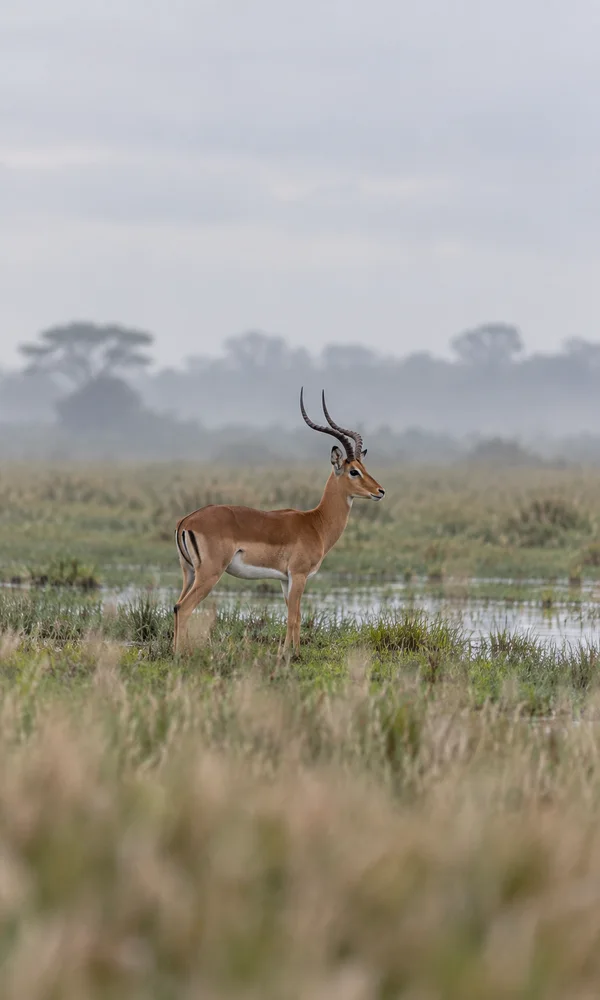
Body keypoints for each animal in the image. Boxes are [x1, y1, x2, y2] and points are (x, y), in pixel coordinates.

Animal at [173, 389, 385, 655]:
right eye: (353, 471)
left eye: (363, 466)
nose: (380, 491)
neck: (315, 523)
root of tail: (186, 521)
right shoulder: (299, 575)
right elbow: (294, 616)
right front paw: (291, 654)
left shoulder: (285, 579)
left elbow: (294, 615)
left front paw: (289, 650)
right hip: (210, 573)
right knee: (184, 608)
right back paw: (183, 655)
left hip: (189, 572)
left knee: (176, 605)